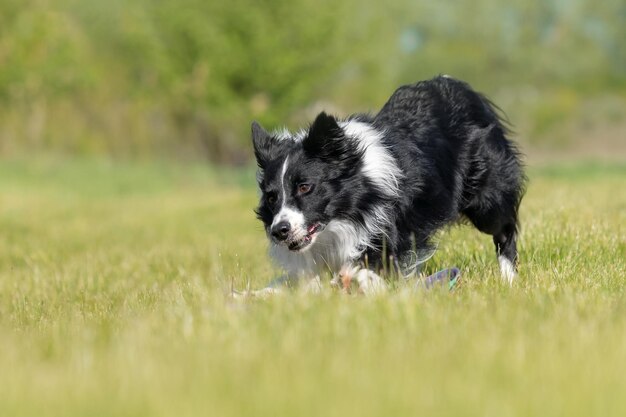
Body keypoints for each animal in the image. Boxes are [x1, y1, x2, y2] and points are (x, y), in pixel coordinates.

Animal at [251, 75, 524, 292]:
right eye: (272, 197)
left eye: (305, 187)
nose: (279, 230)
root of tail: (461, 88)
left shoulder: (388, 229)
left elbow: (371, 262)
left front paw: (357, 280)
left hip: (486, 199)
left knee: (504, 230)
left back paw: (509, 280)